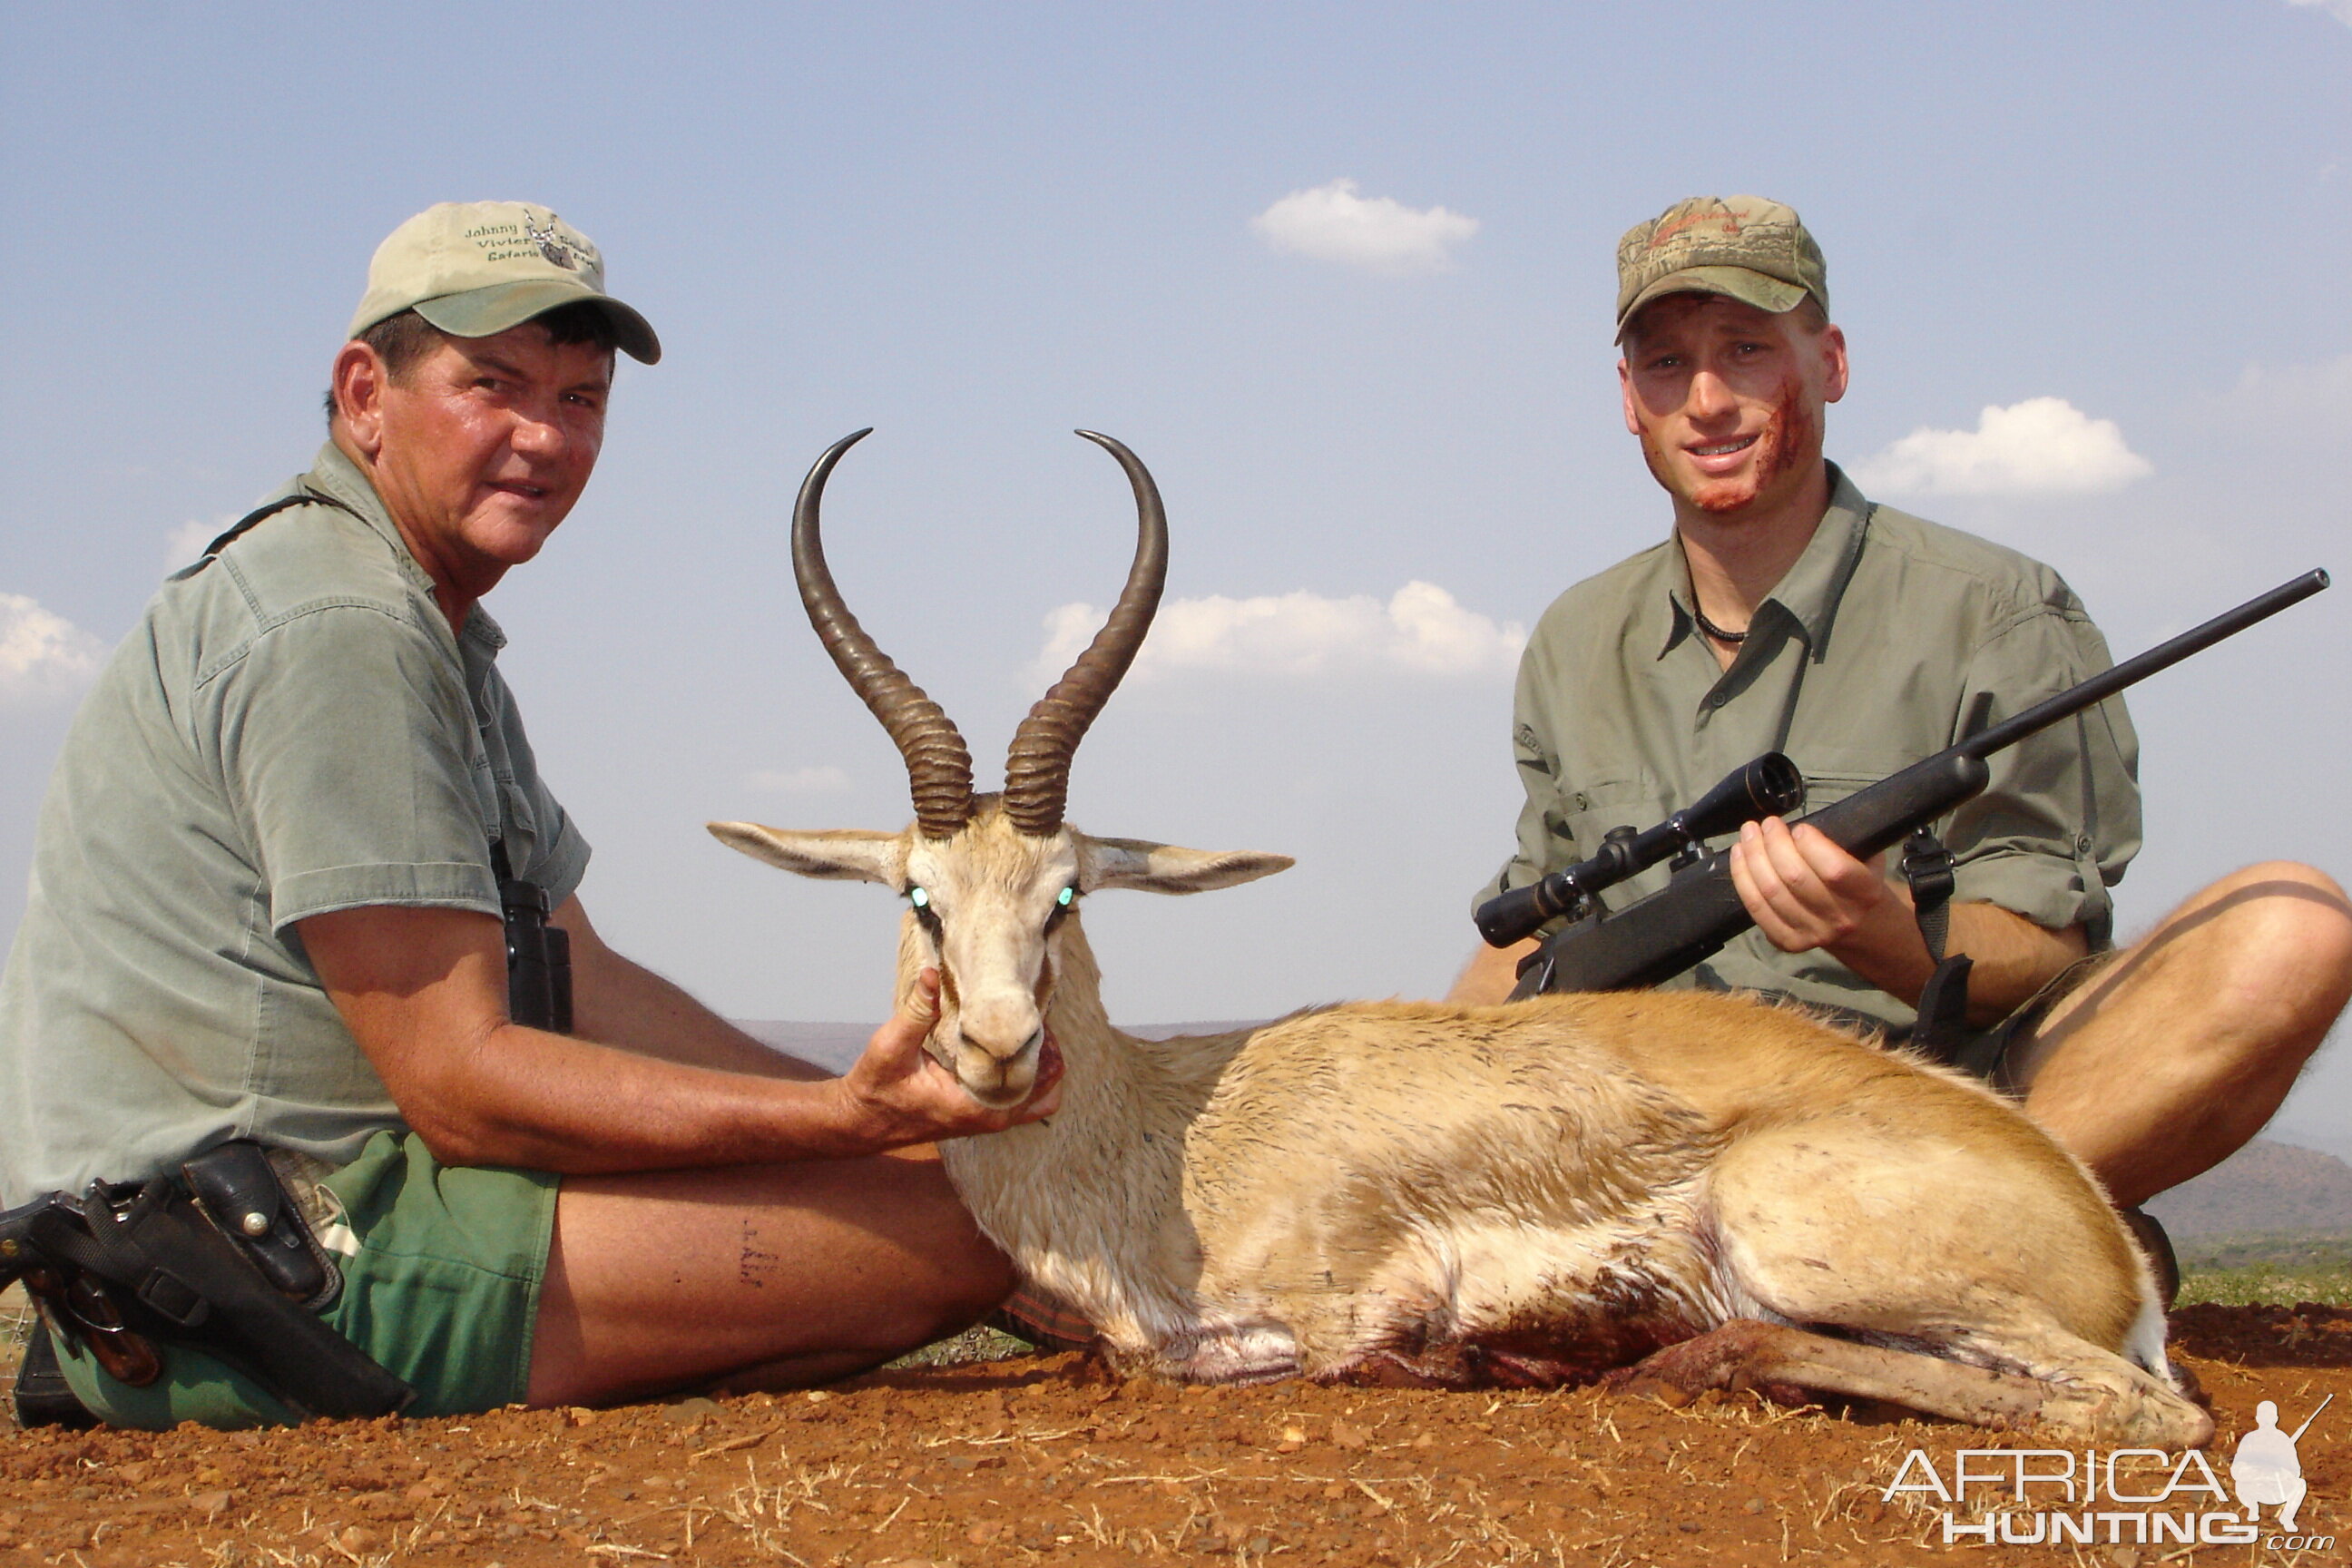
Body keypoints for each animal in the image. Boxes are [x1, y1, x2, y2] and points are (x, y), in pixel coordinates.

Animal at [705, 430, 2210, 1447]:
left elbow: (1309, 1358)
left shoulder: (1349, 1307)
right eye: (919, 897)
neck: (1172, 1140)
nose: (999, 1046)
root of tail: (2098, 1231)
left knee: (2146, 1411)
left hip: (1801, 1238)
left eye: (1067, 894)